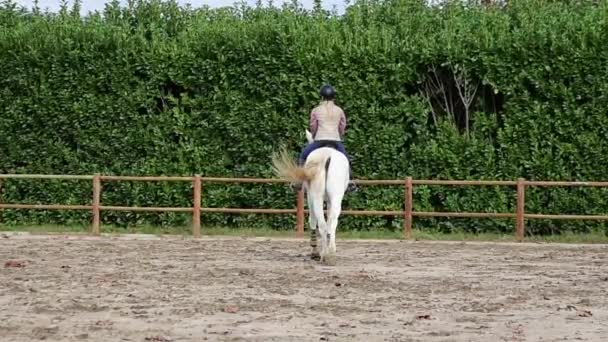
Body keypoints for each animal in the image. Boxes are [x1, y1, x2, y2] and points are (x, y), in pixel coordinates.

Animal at [274, 130, 350, 266]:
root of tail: (328, 156)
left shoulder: (309, 197)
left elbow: (312, 220)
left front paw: (314, 252)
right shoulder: (329, 200)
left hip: (316, 197)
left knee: (321, 224)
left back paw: (323, 255)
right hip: (336, 198)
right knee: (332, 222)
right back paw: (331, 253)